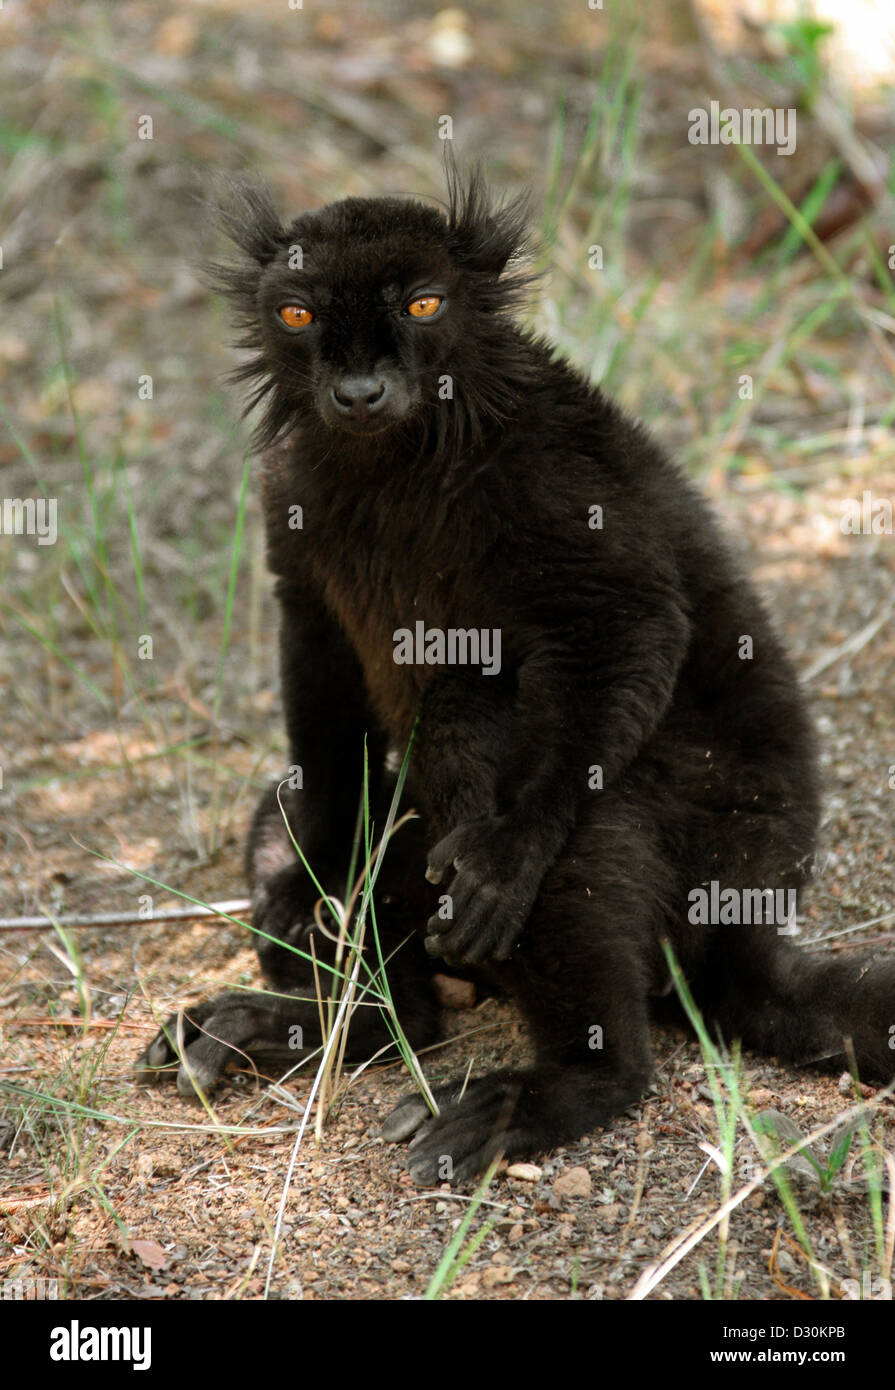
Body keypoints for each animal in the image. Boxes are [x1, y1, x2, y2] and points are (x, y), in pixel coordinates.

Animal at [137, 165, 895, 1186]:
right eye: (298, 314)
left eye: (422, 303)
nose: (360, 391)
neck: (393, 458)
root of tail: (752, 915)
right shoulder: (293, 501)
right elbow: (317, 674)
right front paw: (311, 876)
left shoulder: (552, 472)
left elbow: (626, 621)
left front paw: (507, 852)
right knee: (312, 843)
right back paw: (320, 1025)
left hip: (702, 846)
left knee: (482, 726)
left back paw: (557, 1085)